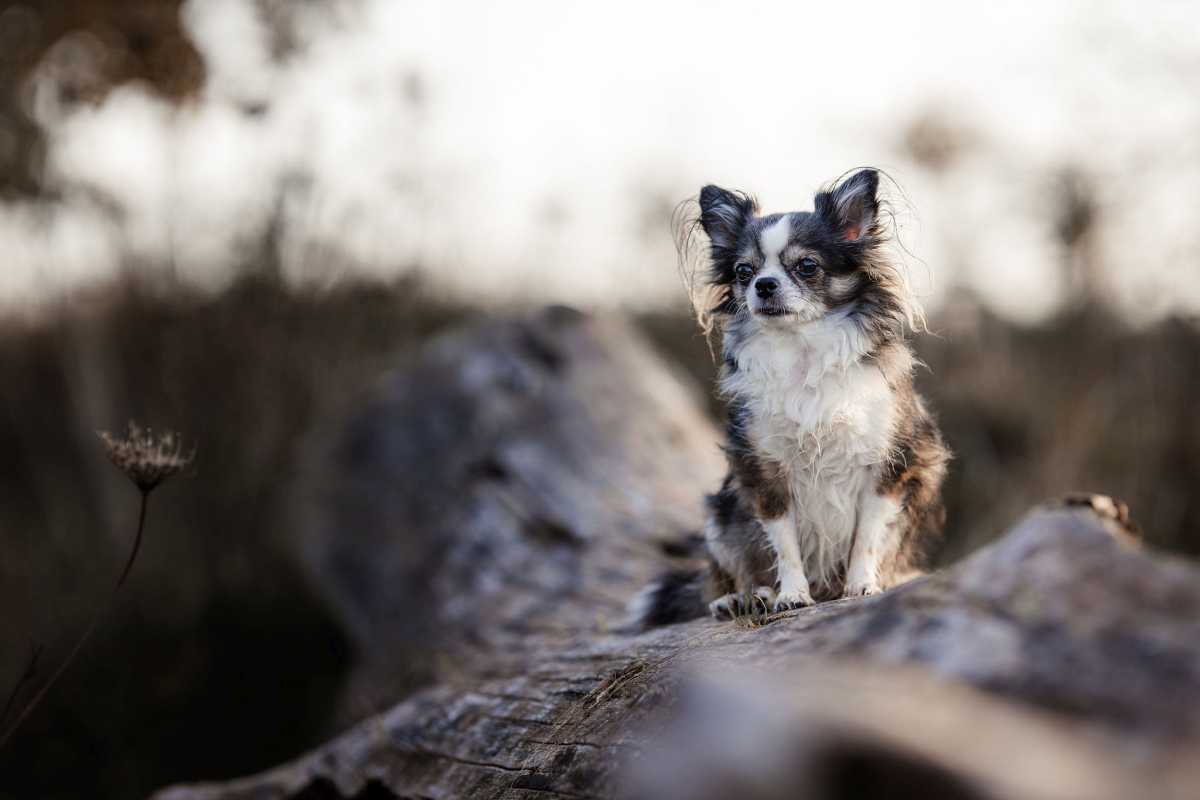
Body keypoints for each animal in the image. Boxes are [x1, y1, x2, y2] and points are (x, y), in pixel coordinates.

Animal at [633, 169, 950, 623]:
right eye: (743, 271)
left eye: (807, 266)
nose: (764, 285)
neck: (802, 350)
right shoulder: (765, 473)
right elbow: (785, 545)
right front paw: (793, 595)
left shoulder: (888, 468)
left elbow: (867, 538)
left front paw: (862, 586)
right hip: (722, 513)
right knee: (727, 573)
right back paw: (744, 598)